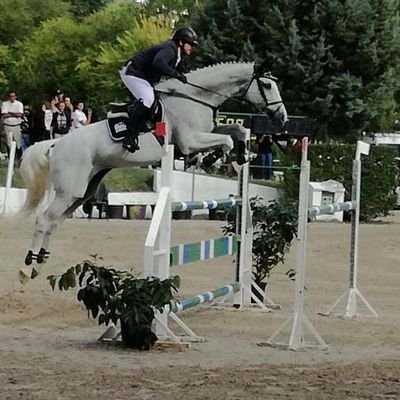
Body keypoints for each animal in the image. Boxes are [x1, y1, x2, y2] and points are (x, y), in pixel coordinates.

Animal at [18, 61, 288, 282]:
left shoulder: (205, 133)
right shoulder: (190, 141)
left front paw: (241, 155)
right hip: (69, 190)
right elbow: (226, 141)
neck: (196, 97)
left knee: (54, 222)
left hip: (83, 191)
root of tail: (56, 143)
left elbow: (236, 132)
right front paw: (215, 158)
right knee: (44, 219)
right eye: (266, 85)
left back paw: (40, 263)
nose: (283, 117)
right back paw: (26, 266)